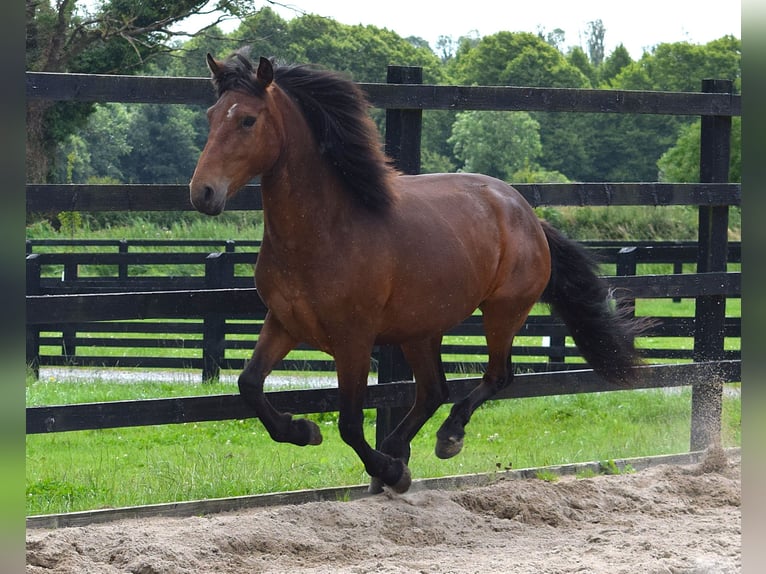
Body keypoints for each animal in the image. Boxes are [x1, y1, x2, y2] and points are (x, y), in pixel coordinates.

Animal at [190, 49, 648, 496]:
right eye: (211, 115)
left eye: (248, 120)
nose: (203, 193)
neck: (326, 230)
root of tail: (527, 213)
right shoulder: (284, 322)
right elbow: (249, 384)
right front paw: (302, 430)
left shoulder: (354, 339)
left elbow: (349, 423)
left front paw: (388, 469)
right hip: (420, 328)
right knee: (433, 390)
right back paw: (398, 449)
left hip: (502, 311)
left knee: (496, 376)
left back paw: (442, 440)